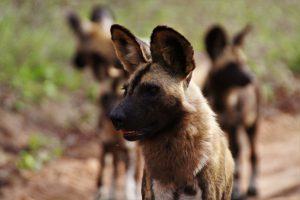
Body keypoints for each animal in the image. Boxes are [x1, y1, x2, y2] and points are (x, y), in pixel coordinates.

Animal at [67, 5, 144, 199]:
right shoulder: (106, 146)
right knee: (116, 170)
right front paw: (104, 193)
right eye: (104, 98)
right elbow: (103, 176)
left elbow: (129, 183)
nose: (75, 62)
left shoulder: (128, 150)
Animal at [204, 24, 260, 199]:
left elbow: (237, 163)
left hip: (252, 126)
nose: (252, 77)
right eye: (231, 66)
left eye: (244, 62)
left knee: (253, 155)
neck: (222, 100)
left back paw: (253, 187)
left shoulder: (235, 128)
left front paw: (235, 191)